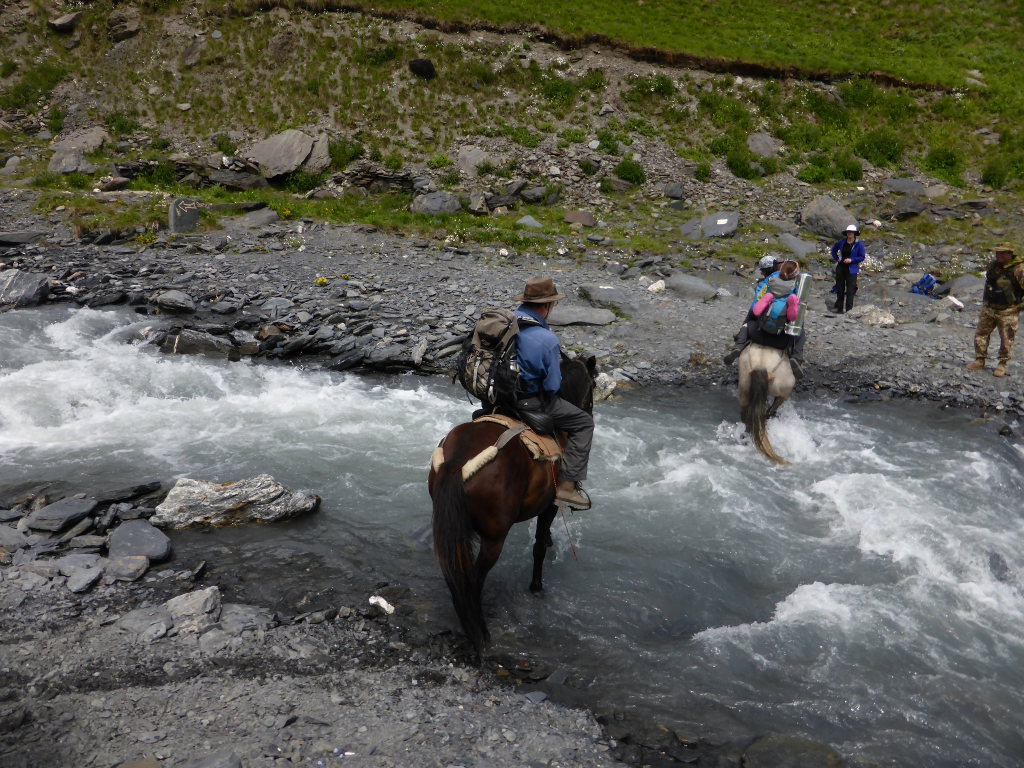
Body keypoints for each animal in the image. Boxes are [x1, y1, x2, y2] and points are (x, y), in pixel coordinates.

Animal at [425, 358, 598, 659]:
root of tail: (457, 463)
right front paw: (537, 586)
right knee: (473, 579)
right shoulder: (550, 505)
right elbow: (539, 546)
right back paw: (482, 633)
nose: (590, 411)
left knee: (456, 575)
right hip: (494, 538)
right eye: (593, 387)